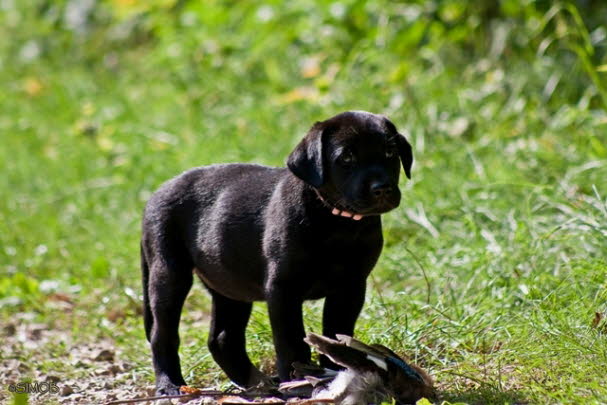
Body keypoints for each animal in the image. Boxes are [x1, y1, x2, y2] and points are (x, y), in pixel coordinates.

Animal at [142, 110, 414, 394]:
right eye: (347, 158)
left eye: (390, 152)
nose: (381, 188)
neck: (337, 222)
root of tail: (156, 194)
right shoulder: (284, 289)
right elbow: (292, 340)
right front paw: (299, 383)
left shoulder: (350, 286)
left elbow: (337, 331)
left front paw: (338, 369)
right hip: (169, 273)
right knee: (163, 335)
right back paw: (170, 385)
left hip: (231, 286)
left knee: (223, 338)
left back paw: (255, 383)